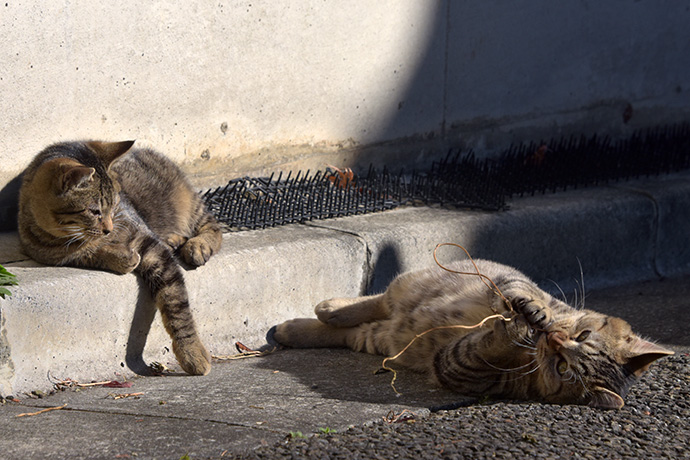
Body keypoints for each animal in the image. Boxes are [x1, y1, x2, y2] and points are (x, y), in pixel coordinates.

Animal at [17, 142, 220, 376]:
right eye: (94, 211)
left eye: (114, 205)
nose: (109, 228)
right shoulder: (52, 255)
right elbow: (89, 254)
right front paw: (123, 257)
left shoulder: (149, 243)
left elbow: (176, 305)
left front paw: (191, 352)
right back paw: (172, 240)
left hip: (189, 205)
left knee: (213, 227)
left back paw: (197, 245)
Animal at [274, 260, 672, 408]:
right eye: (584, 333)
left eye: (563, 368)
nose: (553, 340)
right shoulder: (515, 284)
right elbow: (521, 295)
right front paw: (530, 315)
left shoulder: (459, 368)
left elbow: (480, 348)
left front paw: (513, 331)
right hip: (415, 284)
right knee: (373, 302)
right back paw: (328, 307)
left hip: (380, 337)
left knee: (352, 329)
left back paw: (292, 330)